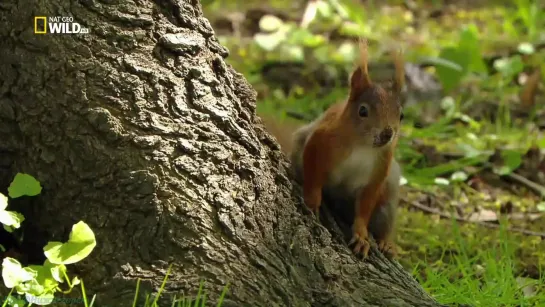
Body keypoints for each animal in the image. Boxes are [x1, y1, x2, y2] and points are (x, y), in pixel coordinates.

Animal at [288, 39, 404, 258]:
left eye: (401, 115)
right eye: (363, 111)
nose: (387, 134)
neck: (363, 147)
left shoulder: (380, 168)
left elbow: (365, 206)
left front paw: (361, 235)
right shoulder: (320, 139)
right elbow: (313, 174)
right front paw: (312, 202)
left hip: (389, 193)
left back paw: (386, 243)